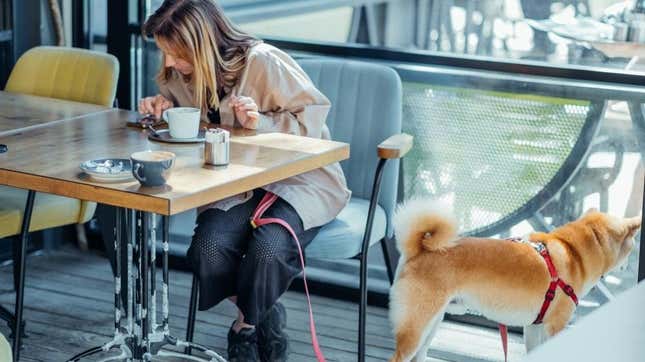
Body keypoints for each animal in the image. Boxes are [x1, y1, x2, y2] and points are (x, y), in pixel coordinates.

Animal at [388, 198, 640, 362]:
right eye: (634, 245)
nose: (629, 264)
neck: (573, 252)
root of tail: (419, 250)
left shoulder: (535, 326)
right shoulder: (555, 326)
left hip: (432, 324)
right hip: (417, 327)